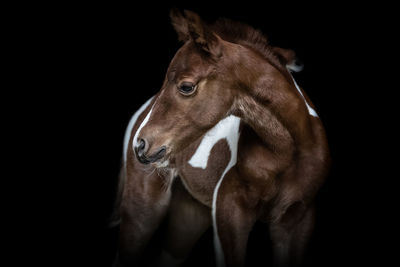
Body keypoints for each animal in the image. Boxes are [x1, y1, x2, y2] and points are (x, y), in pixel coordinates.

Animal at [113, 9, 332, 267]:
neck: (286, 152)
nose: (141, 144)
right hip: (143, 206)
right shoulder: (229, 211)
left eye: (186, 86)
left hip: (190, 212)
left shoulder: (298, 219)